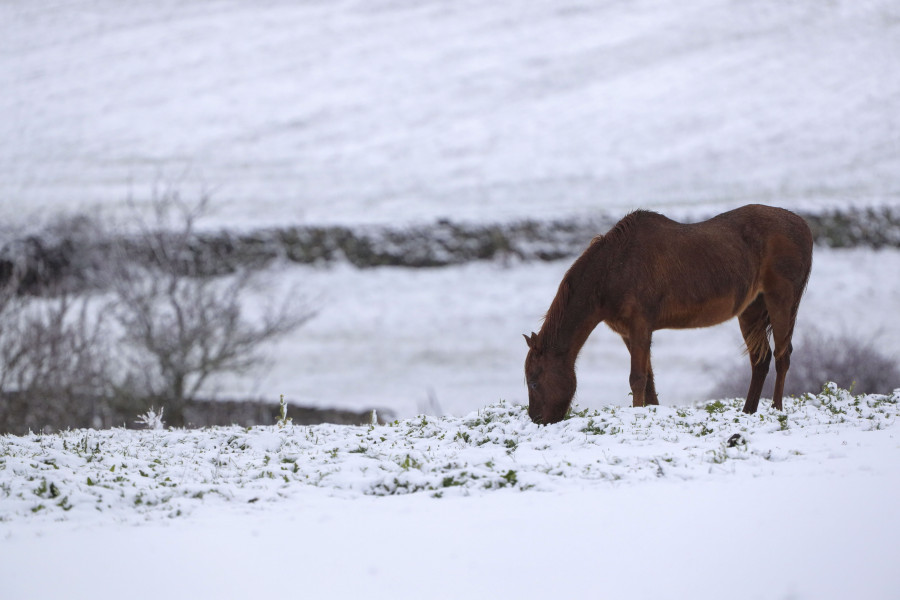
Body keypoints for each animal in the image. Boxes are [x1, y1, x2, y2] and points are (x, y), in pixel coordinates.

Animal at [524, 204, 812, 424]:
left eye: (534, 382)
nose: (537, 419)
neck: (614, 269)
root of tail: (803, 226)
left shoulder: (640, 325)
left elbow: (637, 378)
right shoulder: (629, 332)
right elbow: (649, 380)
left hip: (782, 301)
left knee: (783, 356)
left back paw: (776, 409)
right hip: (752, 310)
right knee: (760, 360)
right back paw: (748, 412)